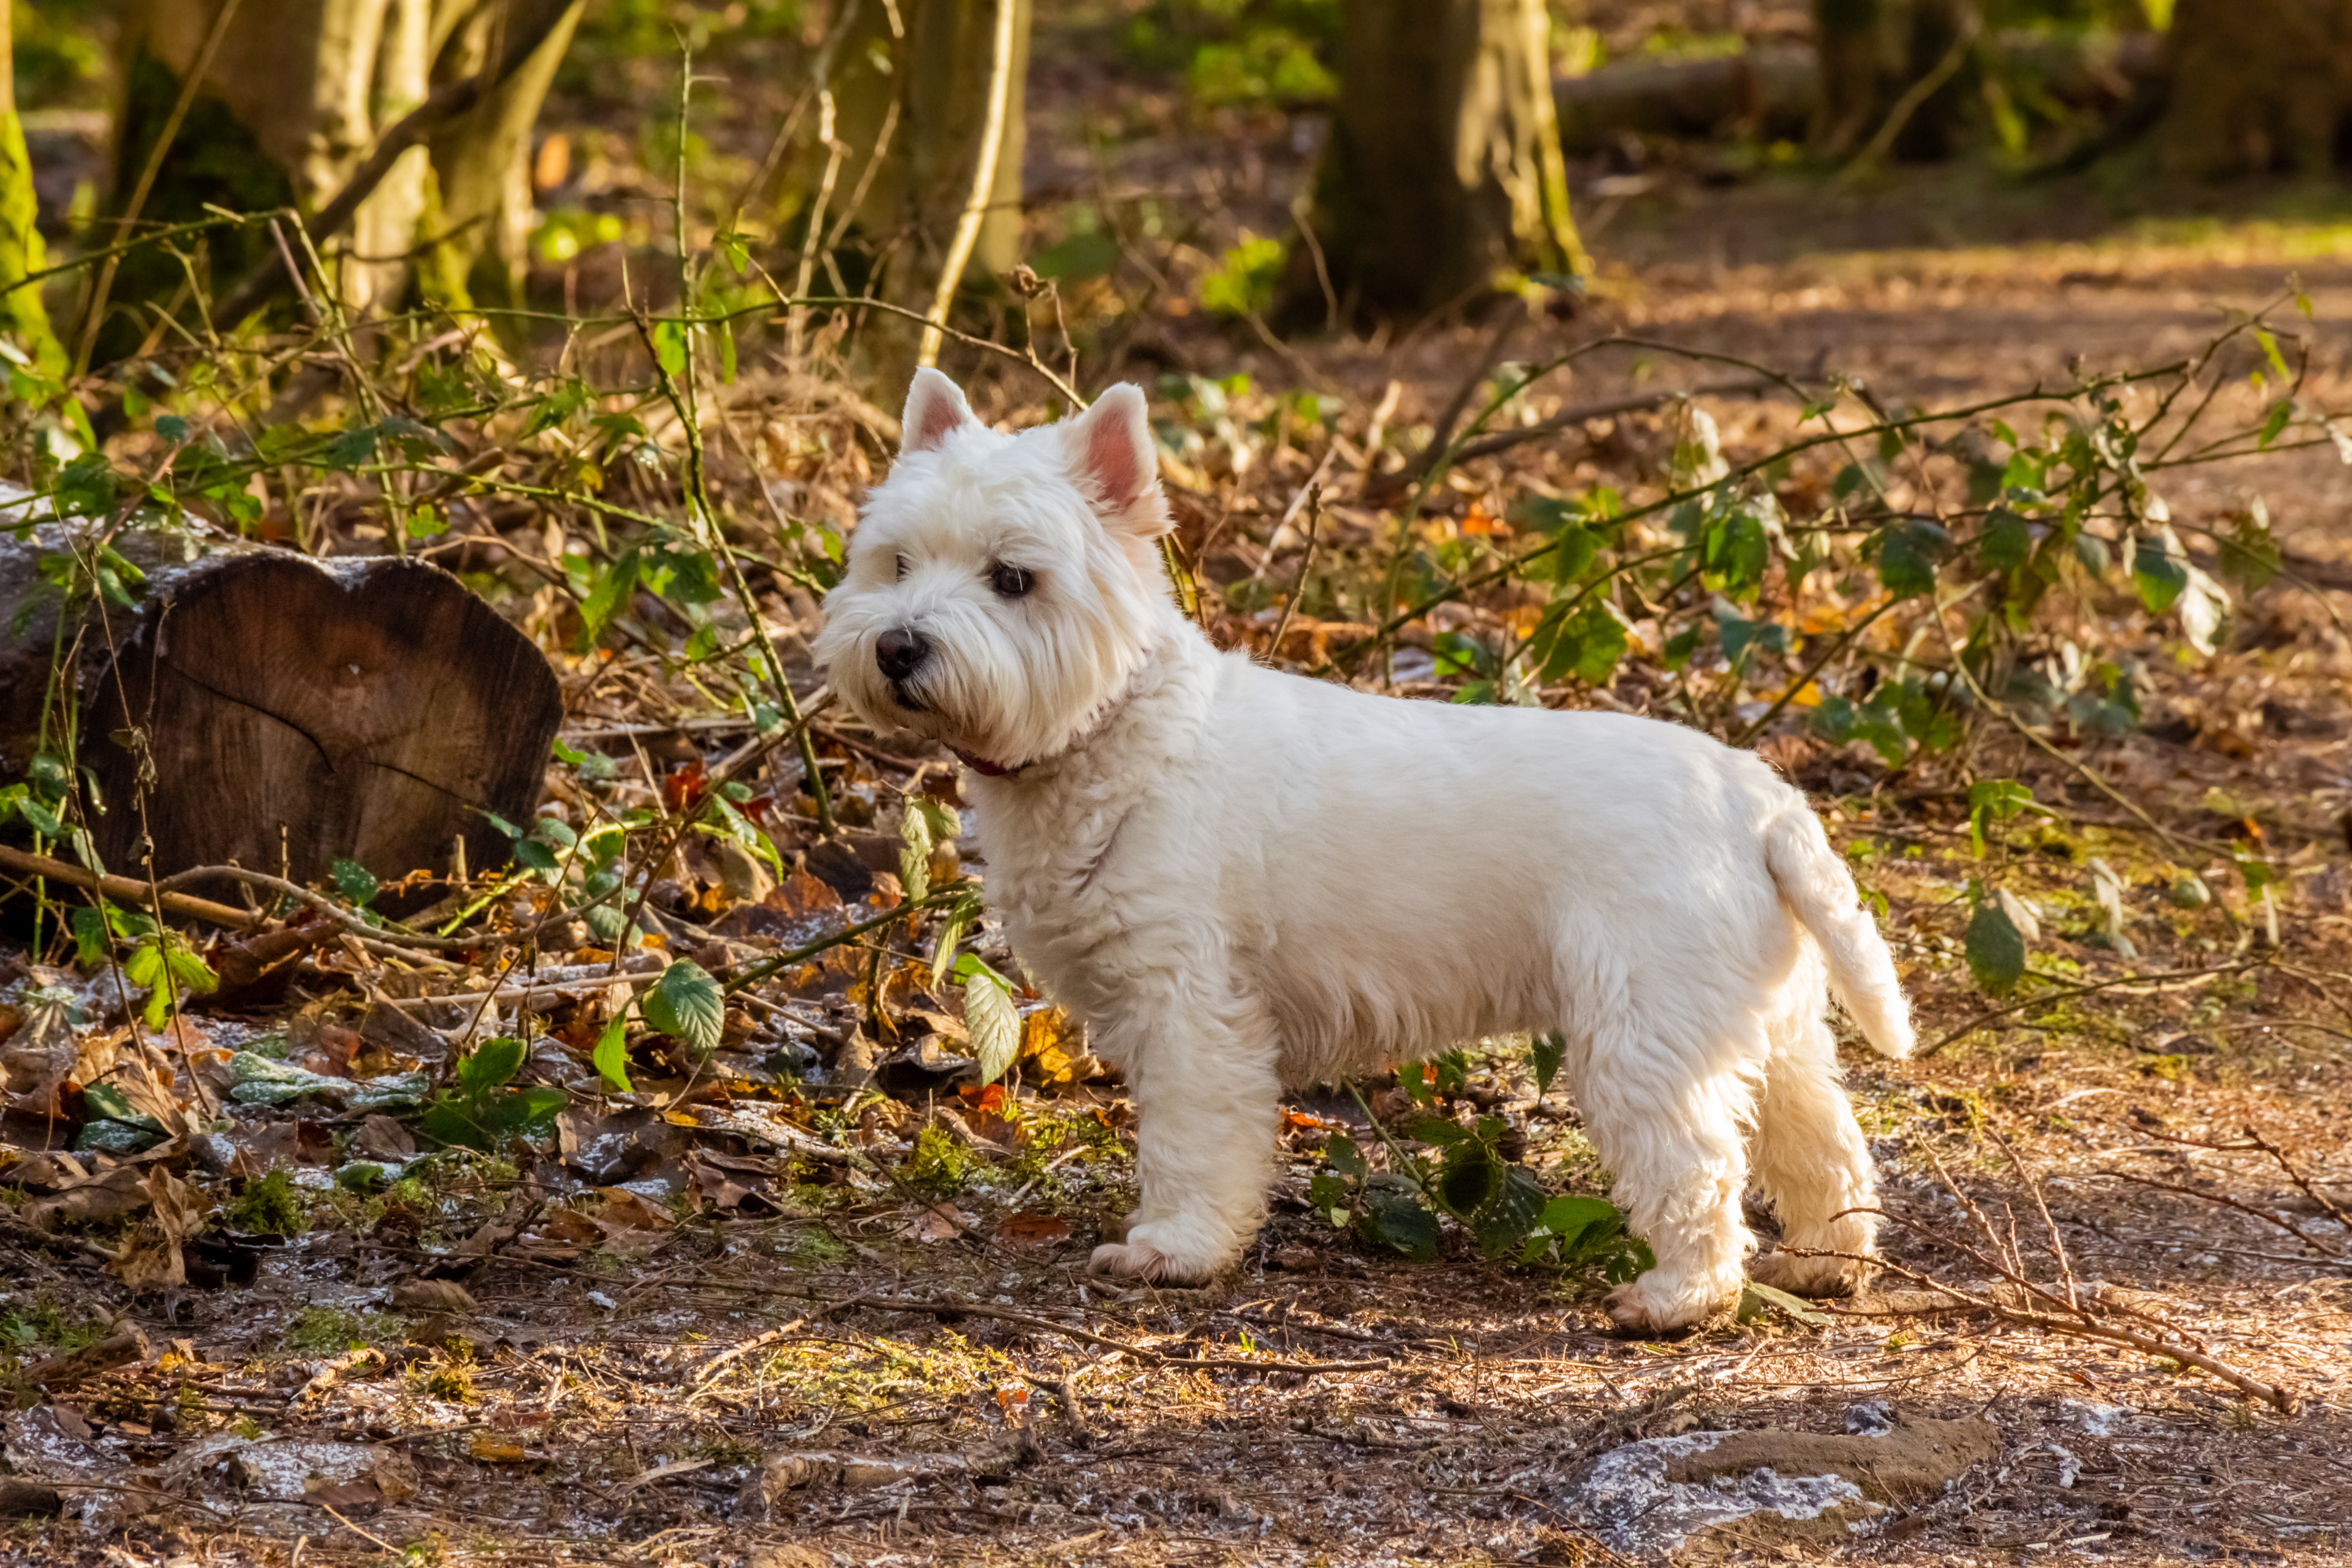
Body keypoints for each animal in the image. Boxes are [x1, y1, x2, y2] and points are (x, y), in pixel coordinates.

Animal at [818, 371, 1919, 1335]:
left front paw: (1175, 1249)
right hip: (1769, 1022)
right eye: (897, 562)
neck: (1115, 729)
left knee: (1697, 1165)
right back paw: (1823, 1267)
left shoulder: (1190, 1010)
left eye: (1014, 578)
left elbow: (1189, 1143)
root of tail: (1759, 800)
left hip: (1645, 1031)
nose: (899, 647)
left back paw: (1678, 1299)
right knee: (1824, 1145)